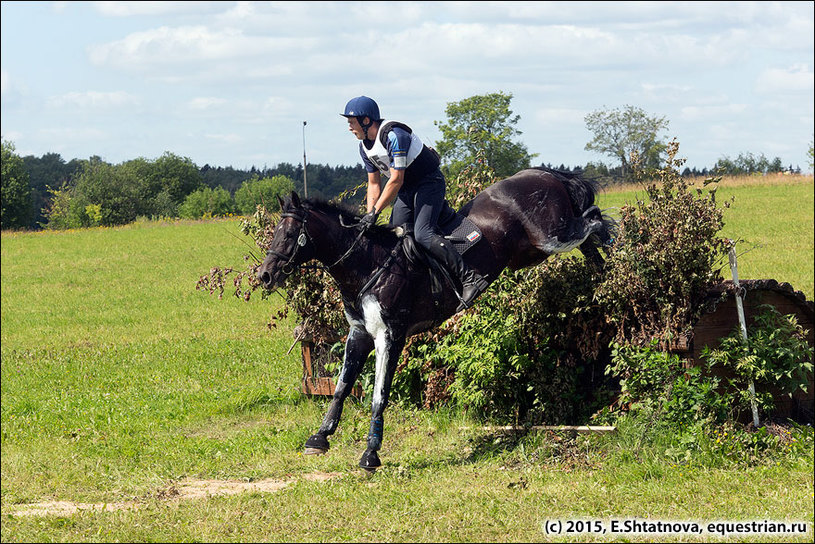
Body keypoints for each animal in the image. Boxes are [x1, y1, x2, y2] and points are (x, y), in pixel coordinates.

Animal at [258, 166, 616, 468]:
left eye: (288, 235)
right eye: (275, 232)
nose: (264, 275)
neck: (368, 263)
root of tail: (547, 173)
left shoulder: (390, 336)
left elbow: (378, 395)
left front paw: (371, 454)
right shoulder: (359, 333)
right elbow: (342, 387)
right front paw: (320, 437)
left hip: (551, 237)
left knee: (593, 222)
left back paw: (614, 254)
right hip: (533, 251)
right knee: (589, 239)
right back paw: (604, 270)